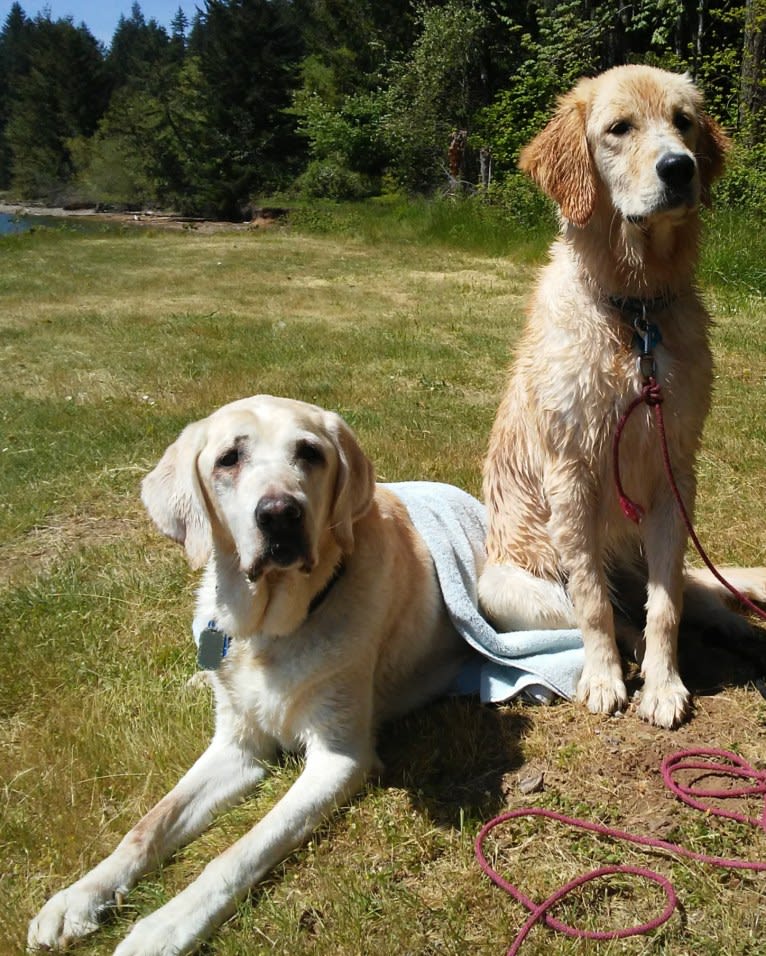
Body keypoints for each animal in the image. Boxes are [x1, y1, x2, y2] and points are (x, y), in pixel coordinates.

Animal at [27, 396, 472, 956]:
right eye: (228, 459)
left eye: (310, 453)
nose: (280, 514)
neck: (266, 633)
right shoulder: (236, 745)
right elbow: (149, 824)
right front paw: (80, 897)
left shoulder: (339, 757)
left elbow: (241, 848)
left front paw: (164, 925)